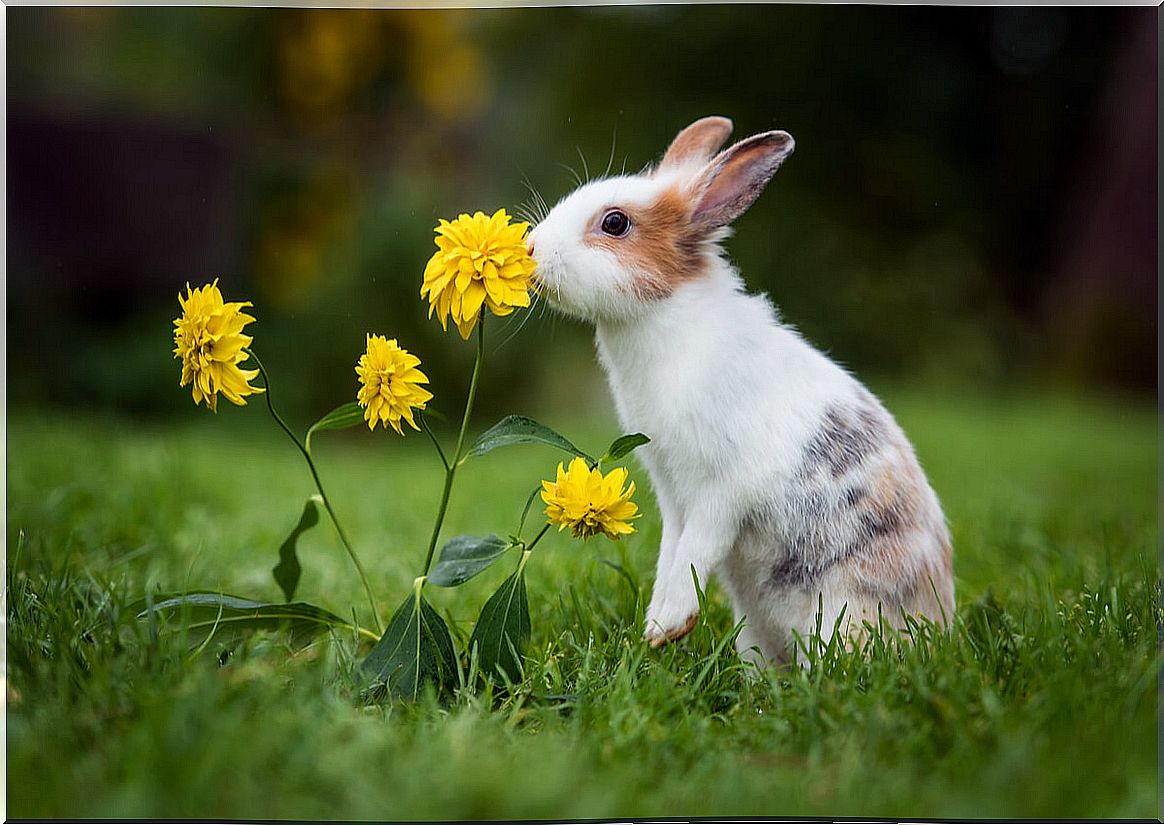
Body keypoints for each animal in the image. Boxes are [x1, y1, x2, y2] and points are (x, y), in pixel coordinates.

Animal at [528, 119, 954, 665]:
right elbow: (672, 553)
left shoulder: (722, 490)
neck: (664, 319)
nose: (531, 249)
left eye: (615, 223)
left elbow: (696, 550)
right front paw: (655, 628)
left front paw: (666, 627)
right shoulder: (672, 494)